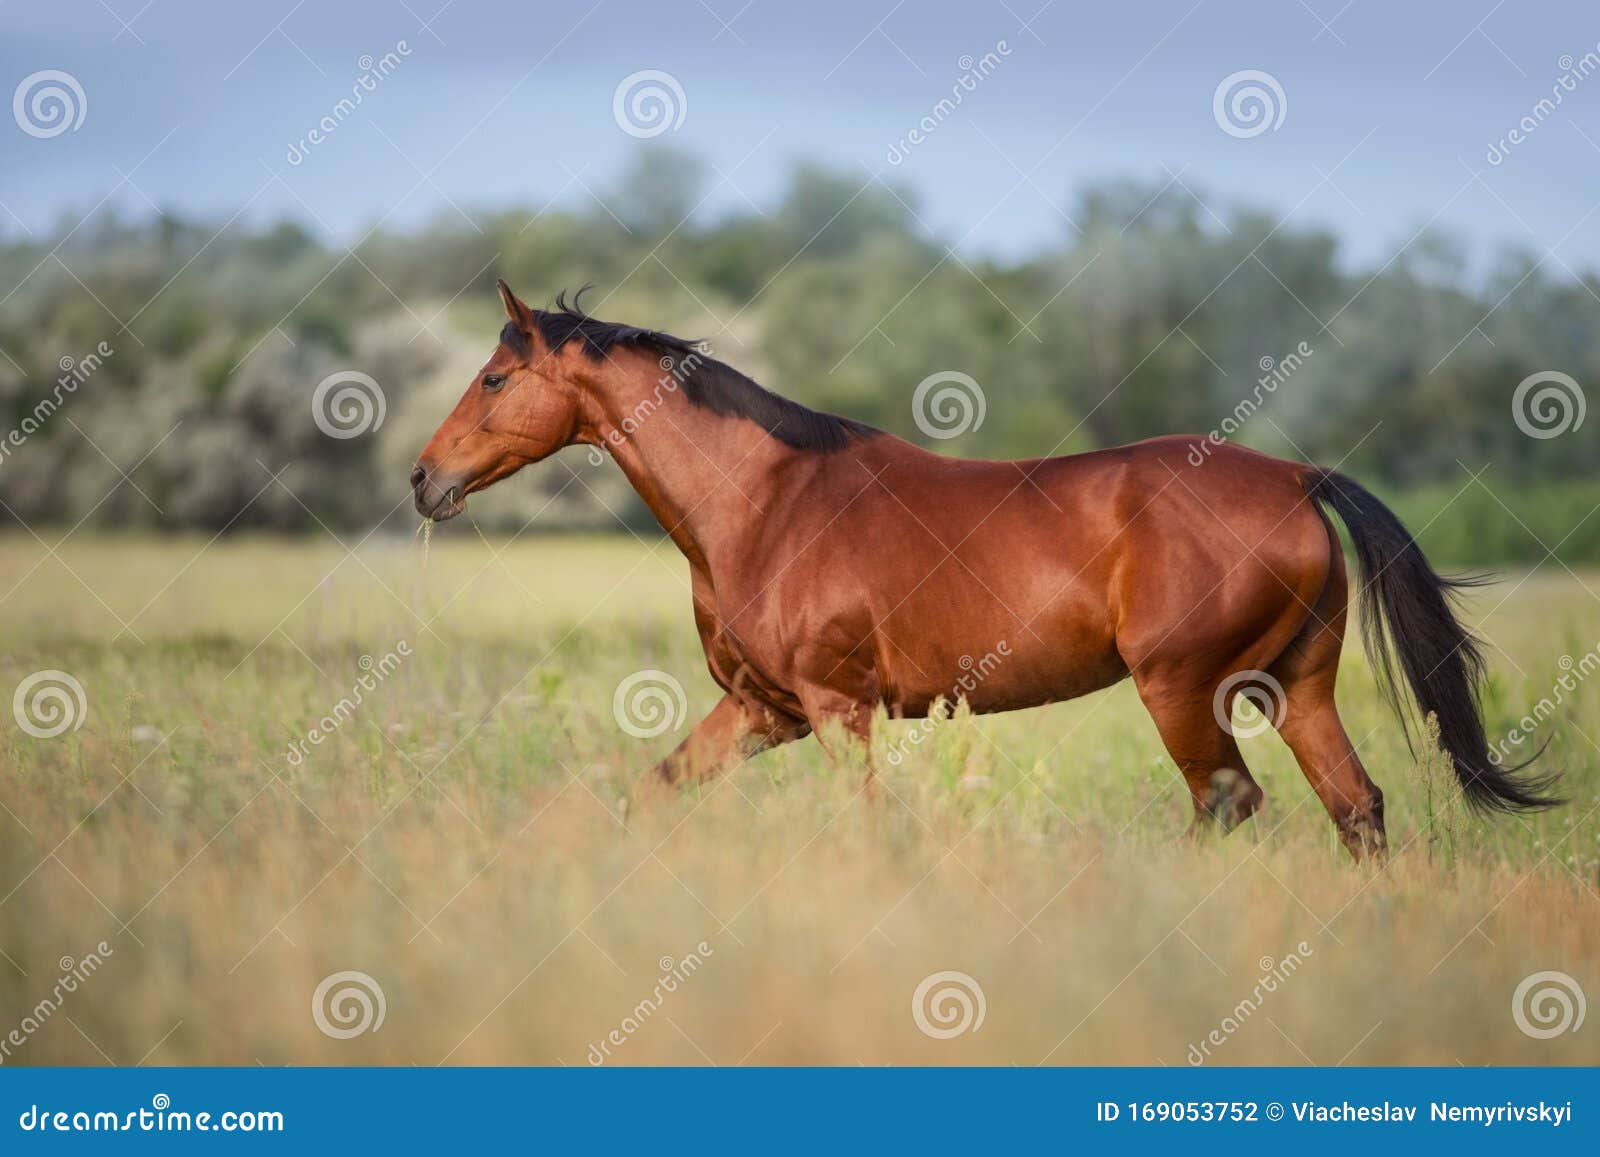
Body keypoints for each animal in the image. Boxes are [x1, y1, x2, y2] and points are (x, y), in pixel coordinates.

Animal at [411, 280, 1559, 859]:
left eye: (494, 376)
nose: (424, 479)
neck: (766, 503)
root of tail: (1293, 474)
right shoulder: (762, 710)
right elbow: (651, 794)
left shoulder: (836, 708)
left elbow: (865, 827)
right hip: (1294, 686)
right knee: (1356, 807)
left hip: (1183, 689)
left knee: (1229, 805)